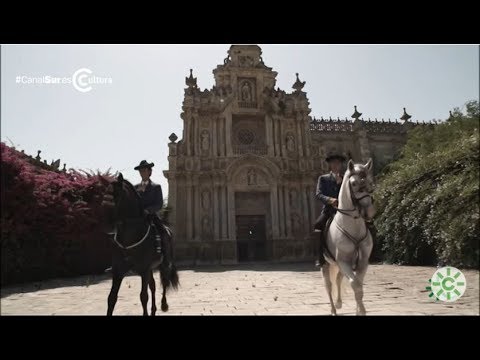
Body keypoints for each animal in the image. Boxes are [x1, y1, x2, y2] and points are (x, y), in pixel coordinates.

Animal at [100, 173, 179, 316]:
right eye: (104, 195)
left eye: (117, 195)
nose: (106, 225)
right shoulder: (119, 270)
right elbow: (111, 298)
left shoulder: (144, 270)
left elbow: (143, 296)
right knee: (153, 286)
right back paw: (154, 310)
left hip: (163, 265)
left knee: (164, 282)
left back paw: (164, 305)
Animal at [322, 158, 376, 316]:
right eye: (354, 184)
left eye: (370, 182)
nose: (370, 212)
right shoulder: (343, 262)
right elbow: (355, 284)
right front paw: (361, 311)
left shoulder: (363, 262)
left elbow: (359, 285)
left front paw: (359, 310)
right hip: (326, 264)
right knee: (329, 285)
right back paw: (333, 310)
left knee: (338, 279)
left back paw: (339, 303)